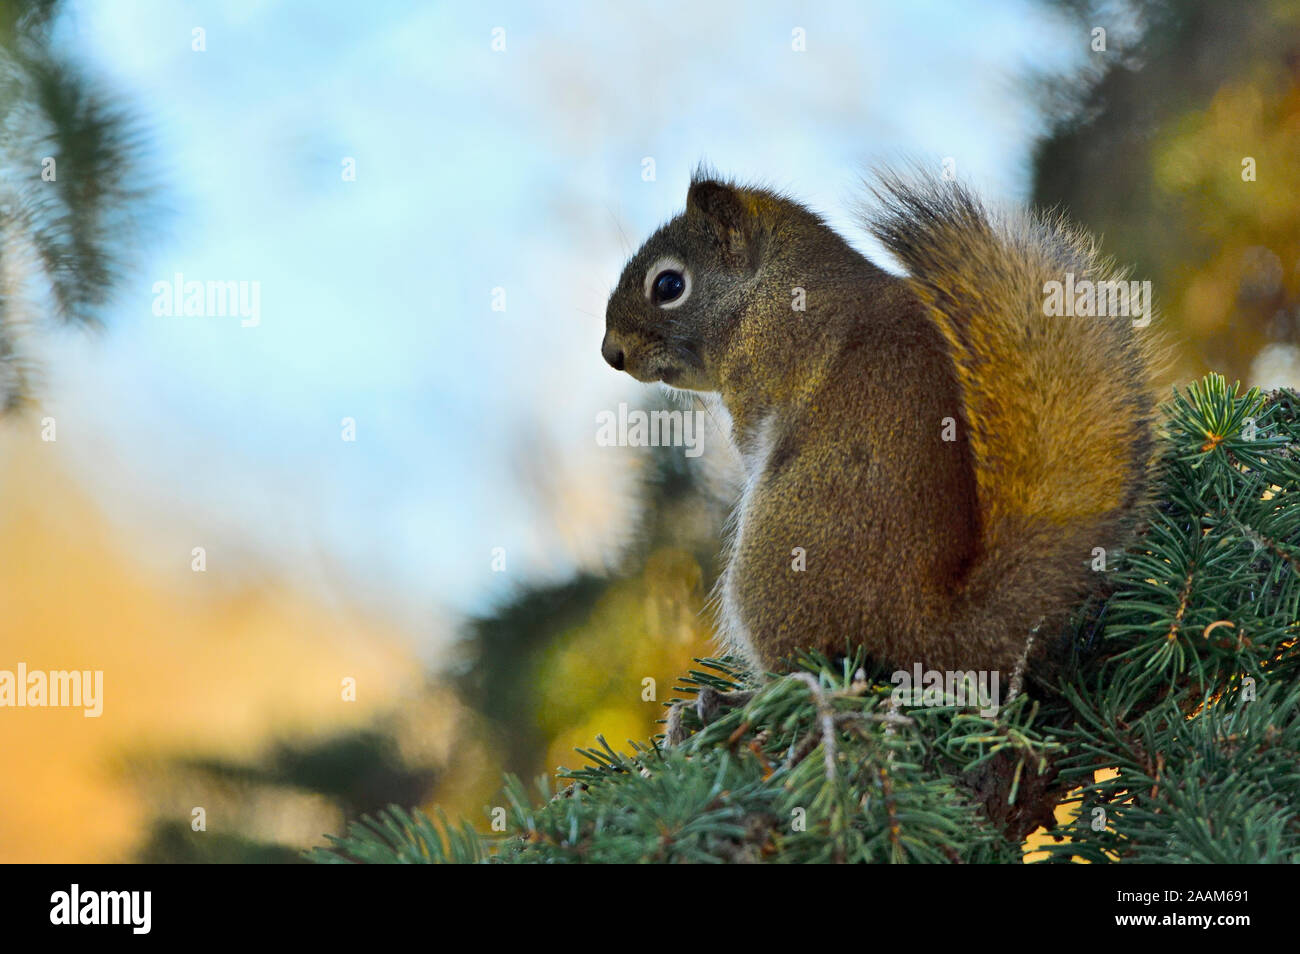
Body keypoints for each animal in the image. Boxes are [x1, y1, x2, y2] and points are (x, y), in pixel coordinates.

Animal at [598, 167, 1159, 686]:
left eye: (669, 286)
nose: (611, 354)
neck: (768, 291)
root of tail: (931, 632)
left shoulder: (766, 373)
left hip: (772, 560)